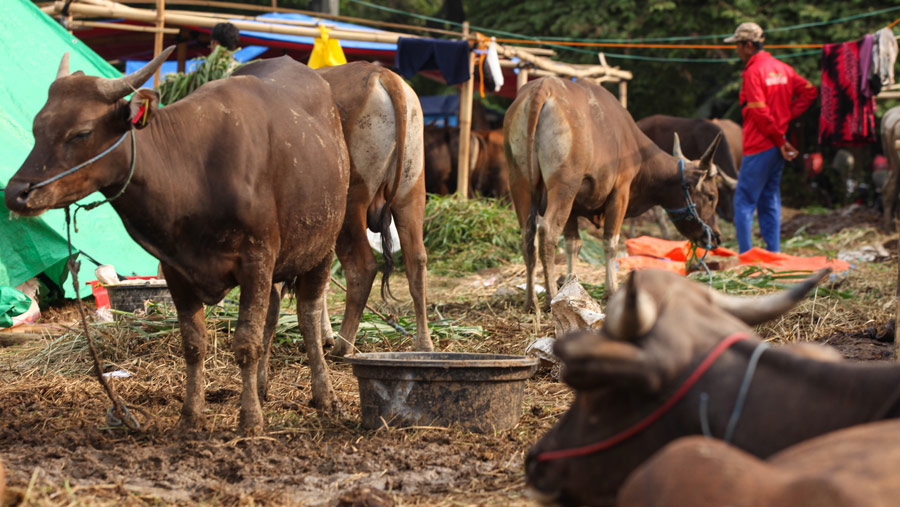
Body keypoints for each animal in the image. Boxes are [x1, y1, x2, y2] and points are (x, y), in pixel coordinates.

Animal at [6, 48, 352, 436]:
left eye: (81, 133)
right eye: (37, 127)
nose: (16, 193)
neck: (193, 174)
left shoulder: (257, 258)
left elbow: (246, 343)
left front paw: (249, 420)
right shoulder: (176, 268)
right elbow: (194, 343)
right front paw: (191, 415)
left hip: (322, 246)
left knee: (308, 316)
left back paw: (324, 396)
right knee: (274, 315)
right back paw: (262, 388)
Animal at [314, 61, 430, 358]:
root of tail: (382, 74)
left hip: (350, 205)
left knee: (362, 268)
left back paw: (343, 345)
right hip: (411, 192)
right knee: (416, 261)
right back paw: (424, 344)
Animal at [506, 76, 724, 308]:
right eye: (711, 197)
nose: (715, 237)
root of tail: (542, 87)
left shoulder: (574, 208)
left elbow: (573, 244)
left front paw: (571, 286)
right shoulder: (620, 193)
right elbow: (611, 242)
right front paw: (610, 291)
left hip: (520, 184)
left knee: (527, 235)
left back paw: (531, 302)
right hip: (564, 187)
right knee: (547, 232)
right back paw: (550, 299)